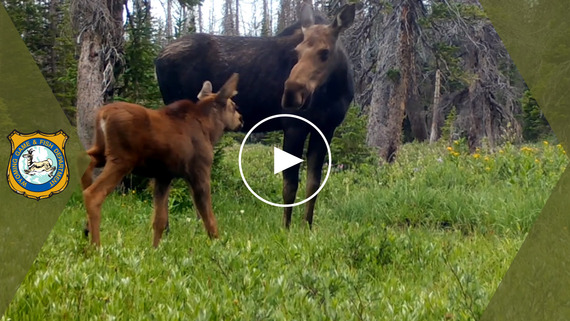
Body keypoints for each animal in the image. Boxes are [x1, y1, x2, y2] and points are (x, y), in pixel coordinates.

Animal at [81, 73, 241, 248]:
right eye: (233, 106)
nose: (241, 120)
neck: (211, 131)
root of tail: (102, 115)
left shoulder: (164, 176)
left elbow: (159, 220)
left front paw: (154, 248)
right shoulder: (199, 170)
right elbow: (209, 217)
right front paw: (218, 246)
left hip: (102, 151)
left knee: (86, 162)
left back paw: (86, 229)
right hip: (122, 160)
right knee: (94, 193)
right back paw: (95, 245)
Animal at [153, 2, 352, 228]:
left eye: (325, 52)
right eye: (297, 51)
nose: (291, 93)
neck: (334, 92)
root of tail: (157, 58)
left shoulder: (327, 128)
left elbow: (314, 183)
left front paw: (307, 227)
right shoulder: (294, 125)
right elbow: (290, 184)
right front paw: (286, 228)